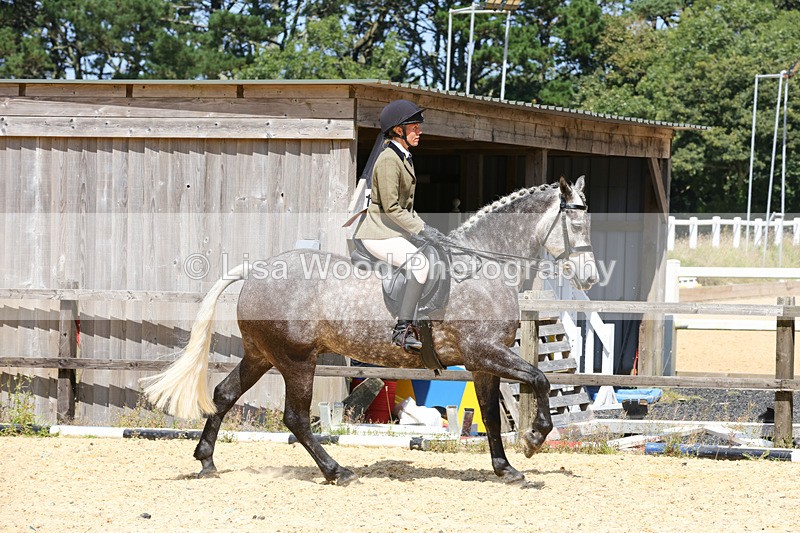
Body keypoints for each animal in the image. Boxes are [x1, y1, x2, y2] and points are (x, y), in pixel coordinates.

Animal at [142, 175, 598, 485]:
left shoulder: (482, 362)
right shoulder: (484, 352)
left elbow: (489, 413)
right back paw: (337, 471)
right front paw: (534, 438)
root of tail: (256, 270)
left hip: (261, 355)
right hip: (296, 360)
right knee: (296, 417)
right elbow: (539, 379)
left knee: (224, 395)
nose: (591, 278)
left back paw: (206, 461)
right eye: (577, 227)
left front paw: (506, 467)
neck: (485, 267)